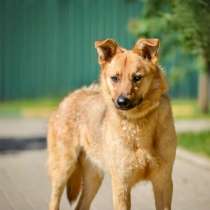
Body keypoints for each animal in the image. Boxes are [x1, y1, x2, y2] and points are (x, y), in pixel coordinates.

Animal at [48, 38, 177, 210]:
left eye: (137, 77)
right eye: (115, 78)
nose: (121, 102)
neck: (138, 123)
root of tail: (69, 98)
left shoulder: (163, 182)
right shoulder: (121, 184)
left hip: (93, 178)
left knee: (81, 206)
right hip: (63, 169)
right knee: (54, 201)